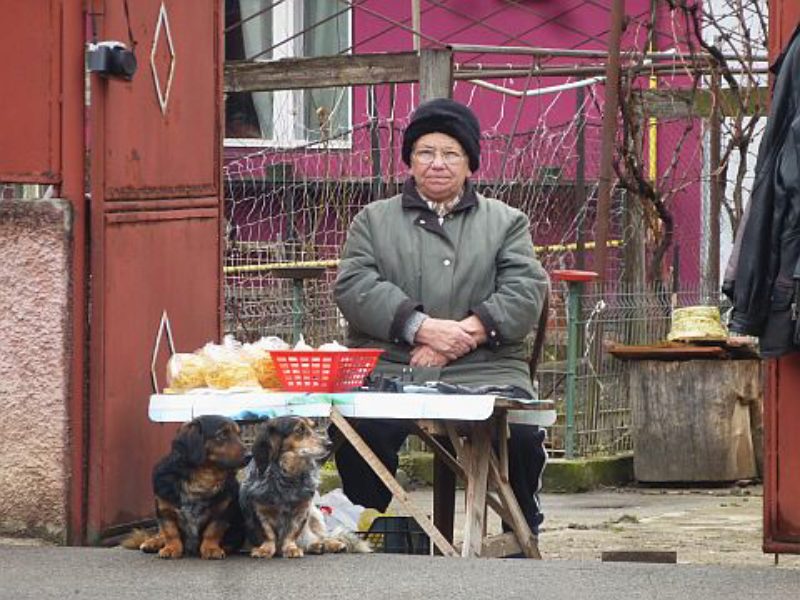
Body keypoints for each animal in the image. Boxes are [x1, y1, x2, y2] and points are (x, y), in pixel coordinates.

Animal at [126, 414, 247, 560]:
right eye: (222, 434)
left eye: (239, 435)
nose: (250, 456)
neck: (201, 480)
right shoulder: (165, 510)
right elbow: (170, 532)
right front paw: (171, 548)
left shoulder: (221, 512)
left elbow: (212, 531)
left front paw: (211, 548)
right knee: (161, 534)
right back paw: (152, 543)